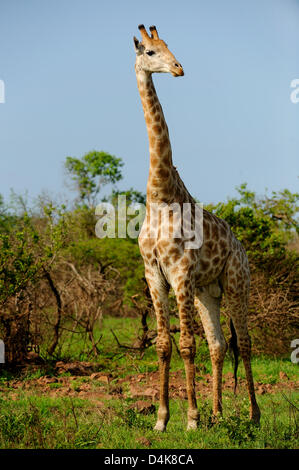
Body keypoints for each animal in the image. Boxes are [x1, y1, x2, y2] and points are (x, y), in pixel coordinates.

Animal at [135, 24, 262, 430]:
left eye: (169, 46)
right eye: (149, 51)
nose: (178, 68)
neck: (159, 195)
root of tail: (241, 247)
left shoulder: (180, 274)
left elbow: (187, 345)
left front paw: (190, 419)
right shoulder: (154, 275)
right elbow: (165, 344)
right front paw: (161, 419)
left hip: (237, 284)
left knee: (245, 342)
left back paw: (253, 415)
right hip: (209, 292)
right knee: (219, 344)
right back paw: (219, 413)